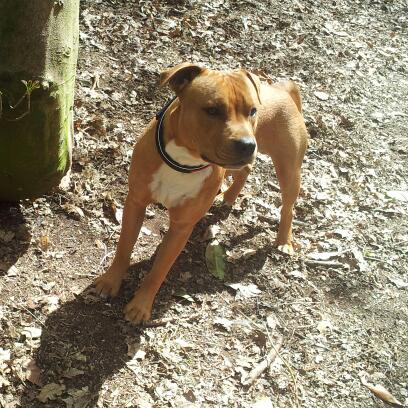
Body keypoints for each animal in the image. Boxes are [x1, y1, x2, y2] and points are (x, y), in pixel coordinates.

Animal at [94, 62, 308, 324]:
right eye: (212, 110)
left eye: (253, 111)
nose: (247, 145)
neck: (184, 161)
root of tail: (282, 90)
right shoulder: (135, 203)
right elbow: (124, 246)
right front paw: (110, 281)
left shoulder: (181, 227)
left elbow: (159, 269)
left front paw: (141, 305)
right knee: (246, 169)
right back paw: (228, 197)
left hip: (289, 169)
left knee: (288, 206)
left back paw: (284, 241)